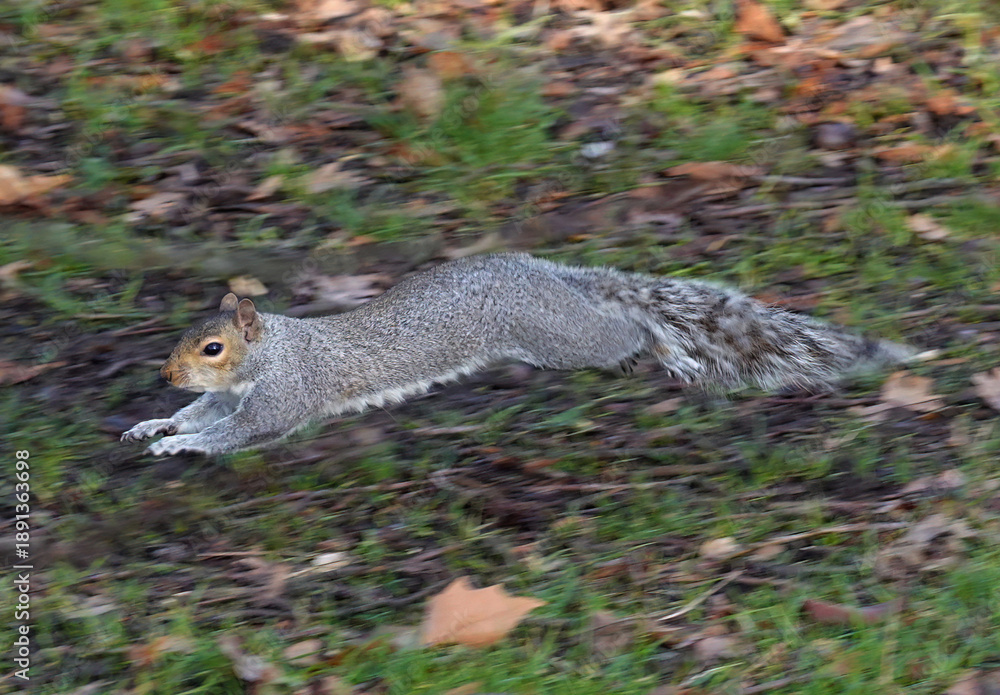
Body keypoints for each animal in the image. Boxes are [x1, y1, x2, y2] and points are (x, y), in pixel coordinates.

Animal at [122, 253, 914, 455]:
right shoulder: (228, 394)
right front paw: (155, 424)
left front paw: (176, 447)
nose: (163, 371)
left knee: (626, 333)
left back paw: (659, 344)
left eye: (213, 345)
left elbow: (238, 434)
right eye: (184, 342)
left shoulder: (284, 396)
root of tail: (549, 275)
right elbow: (202, 414)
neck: (274, 351)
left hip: (560, 338)